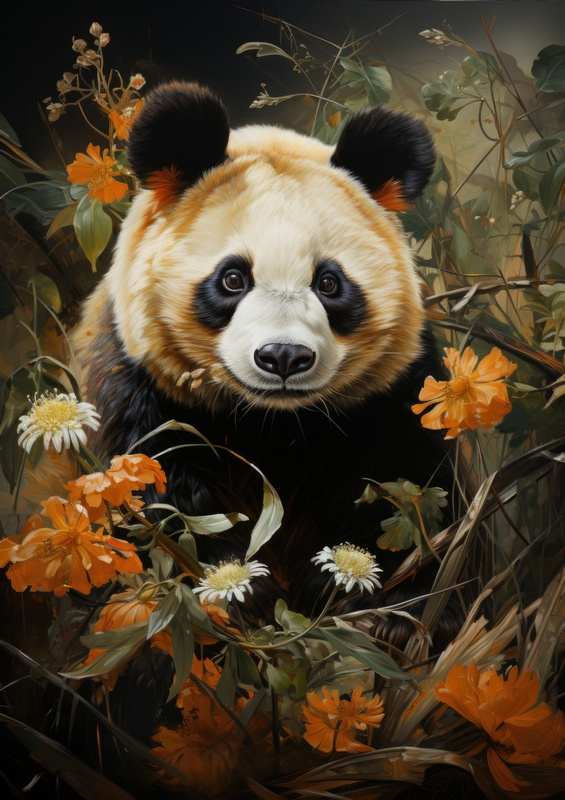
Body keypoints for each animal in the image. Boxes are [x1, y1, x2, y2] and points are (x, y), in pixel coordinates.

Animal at [75, 81, 452, 635]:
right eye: (233, 277)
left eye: (329, 282)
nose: (284, 356)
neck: (275, 423)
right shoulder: (138, 383)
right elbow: (163, 489)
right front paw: (242, 590)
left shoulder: (396, 390)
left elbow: (408, 492)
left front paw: (373, 602)